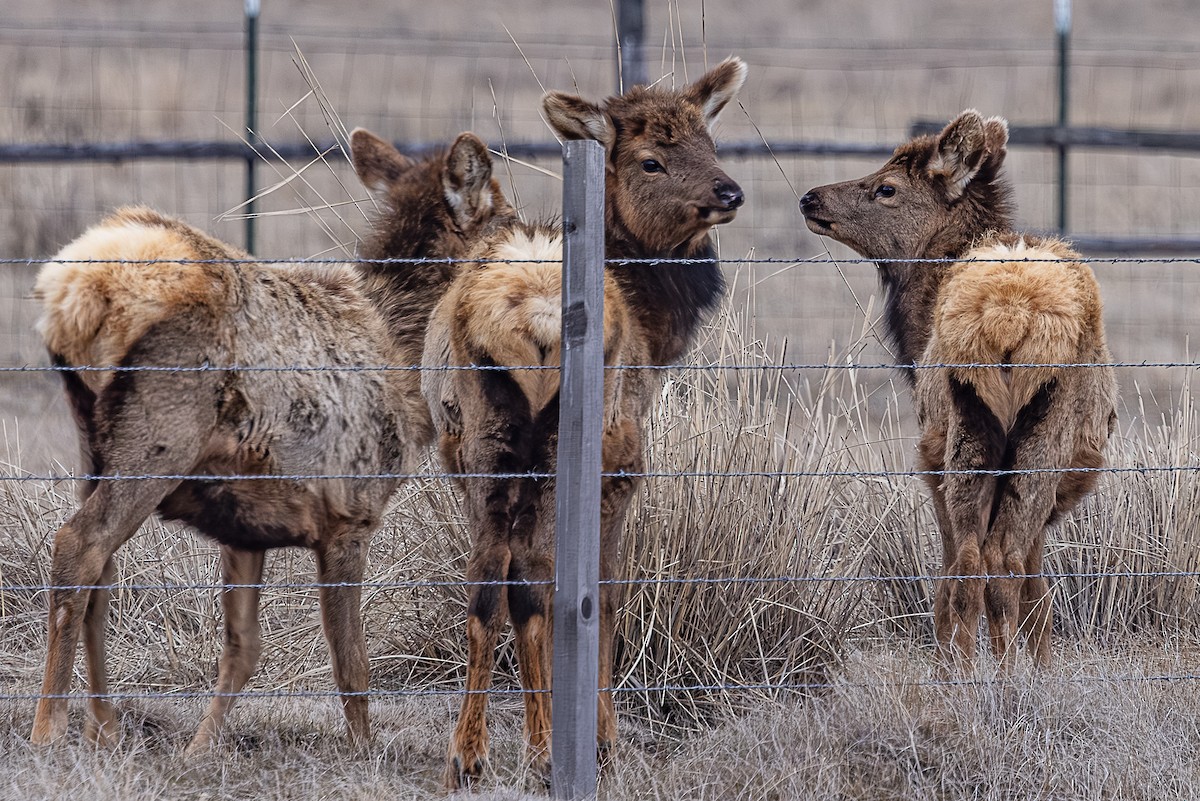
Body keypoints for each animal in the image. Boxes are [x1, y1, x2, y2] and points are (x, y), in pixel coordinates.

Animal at [29, 128, 516, 752]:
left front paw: (197, 753)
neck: (404, 357)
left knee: (103, 570)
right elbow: (352, 666)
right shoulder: (351, 510)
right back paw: (49, 729)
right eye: (508, 218)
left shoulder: (246, 521)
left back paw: (106, 729)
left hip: (90, 440)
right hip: (160, 434)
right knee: (79, 547)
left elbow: (243, 649)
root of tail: (75, 287)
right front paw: (365, 755)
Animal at [421, 57, 748, 789]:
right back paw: (547, 750)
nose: (730, 191)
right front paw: (604, 739)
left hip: (486, 445)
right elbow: (606, 591)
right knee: (538, 582)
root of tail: (532, 315)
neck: (658, 328)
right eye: (652, 159)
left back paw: (470, 755)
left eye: (710, 140)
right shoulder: (622, 463)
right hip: (558, 450)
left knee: (489, 584)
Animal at [799, 109, 1117, 669]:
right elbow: (1036, 588)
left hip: (968, 435)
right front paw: (1043, 665)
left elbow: (968, 583)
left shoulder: (932, 467)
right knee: (997, 562)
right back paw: (999, 674)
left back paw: (972, 673)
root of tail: (1009, 314)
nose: (810, 197)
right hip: (1025, 441)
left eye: (886, 188)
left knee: (976, 564)